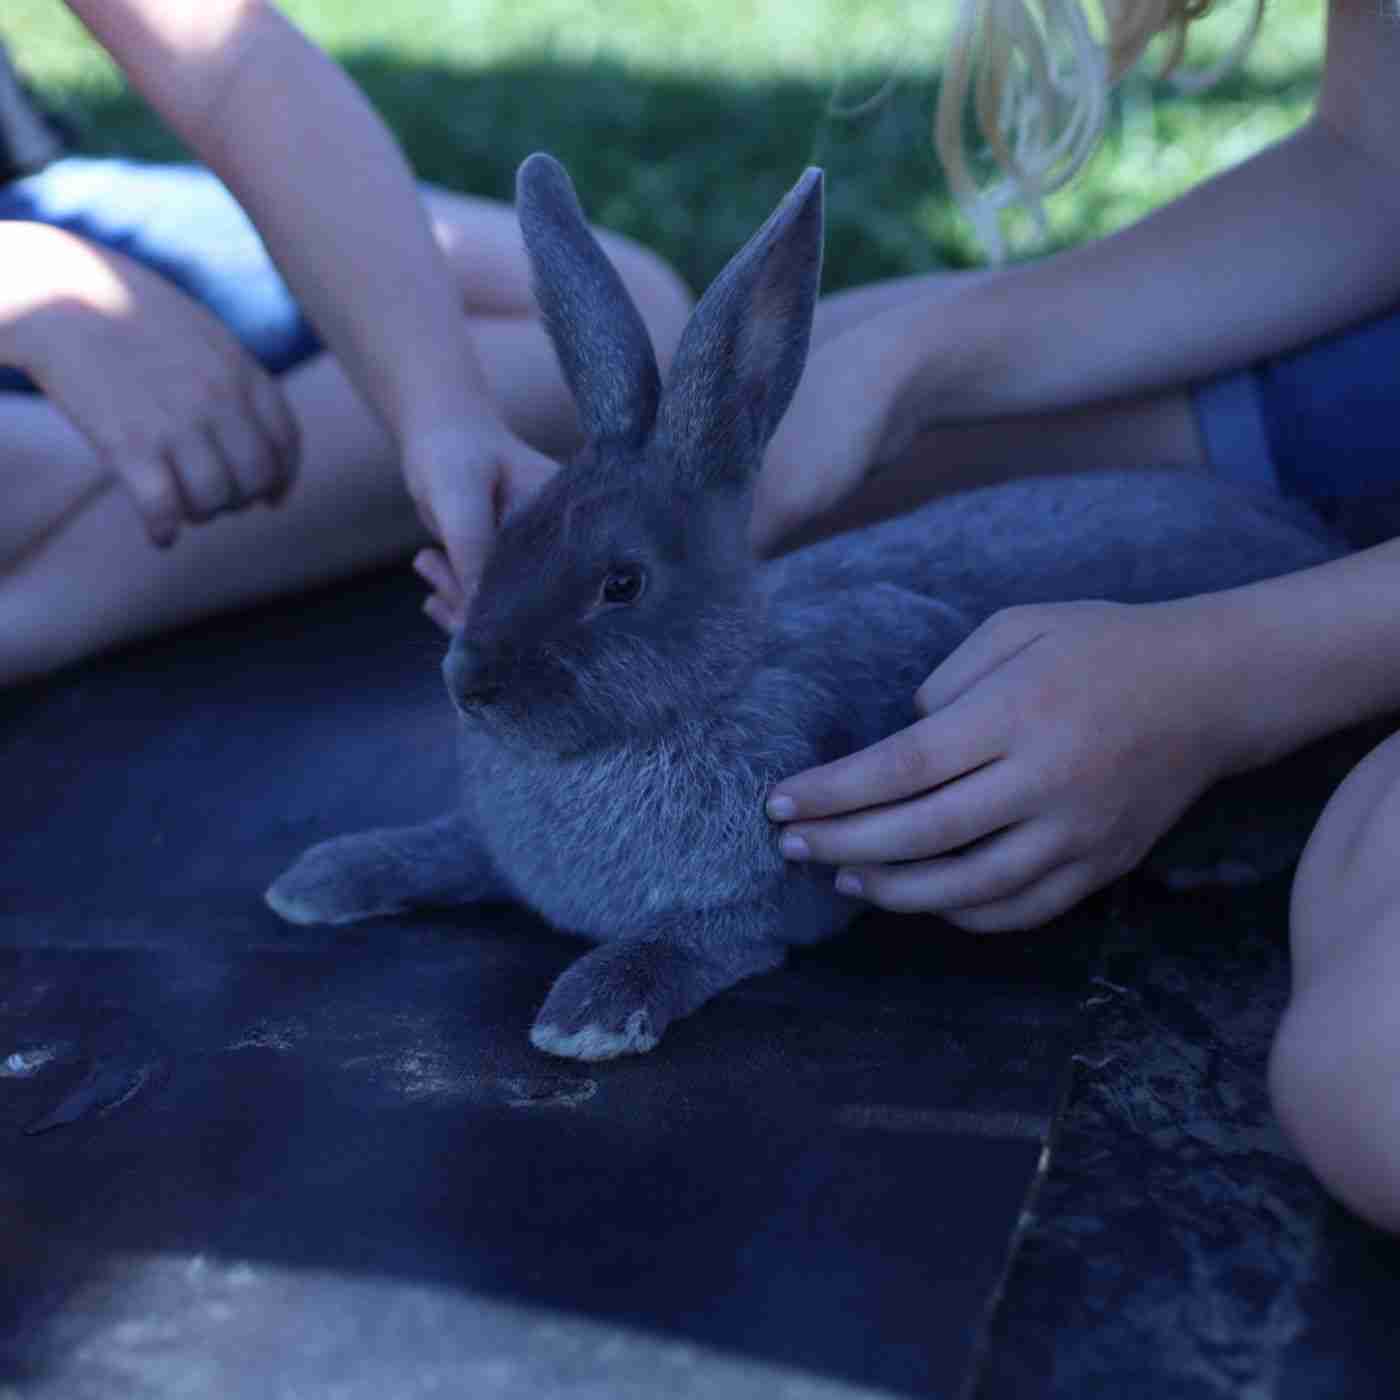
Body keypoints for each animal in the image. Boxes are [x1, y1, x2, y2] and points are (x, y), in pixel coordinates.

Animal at [266, 152, 1345, 1061]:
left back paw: (1216, 852)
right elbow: (444, 847)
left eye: (622, 583)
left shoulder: (750, 905)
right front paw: (320, 879)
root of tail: (1312, 538)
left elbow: (689, 944)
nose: (470, 684)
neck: (694, 699)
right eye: (508, 529)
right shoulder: (495, 849)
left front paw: (589, 1012)